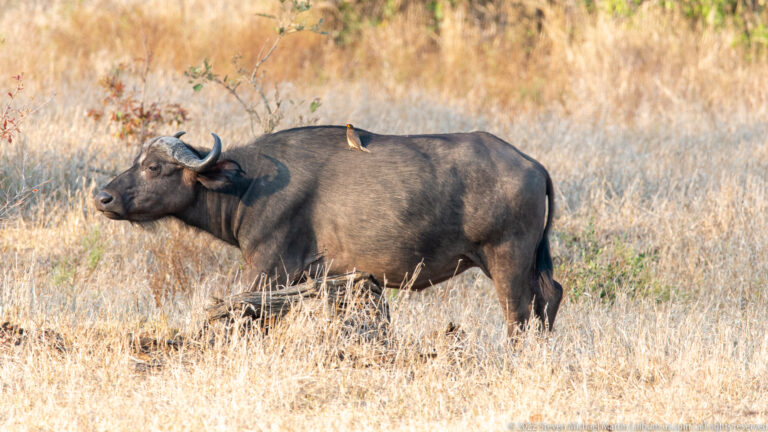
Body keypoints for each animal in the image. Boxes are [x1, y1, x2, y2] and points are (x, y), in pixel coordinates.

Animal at [94, 126, 563, 333]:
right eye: (136, 162)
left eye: (155, 168)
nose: (103, 197)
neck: (249, 184)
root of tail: (533, 165)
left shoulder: (268, 269)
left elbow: (243, 312)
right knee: (550, 297)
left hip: (505, 258)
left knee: (519, 314)